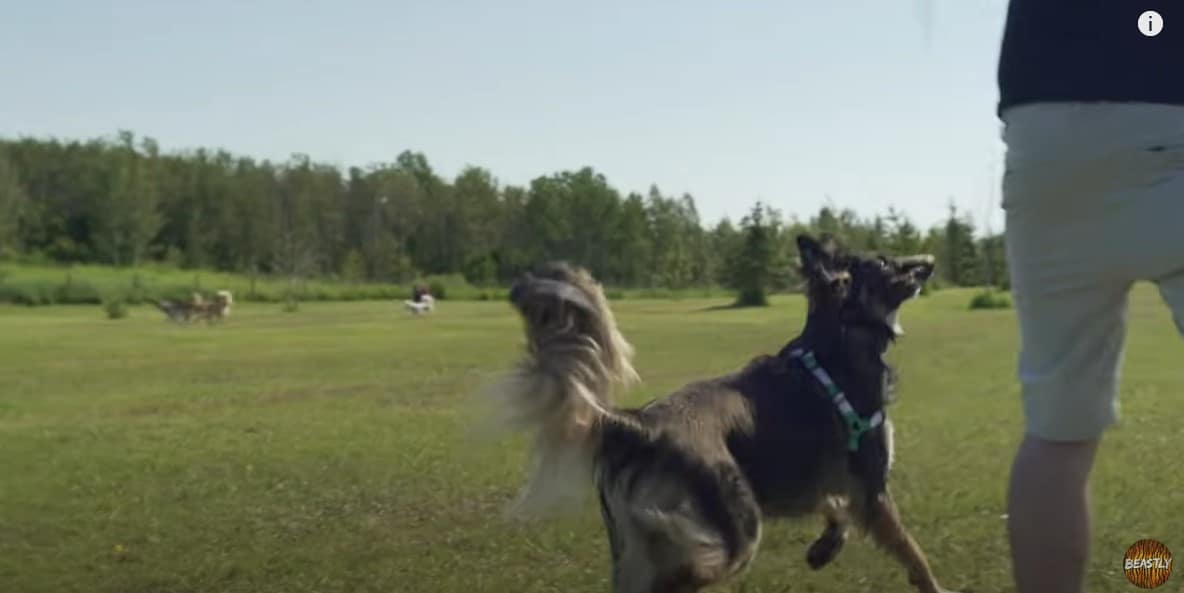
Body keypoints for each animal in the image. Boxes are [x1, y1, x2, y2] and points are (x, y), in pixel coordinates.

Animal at [485, 234, 956, 591]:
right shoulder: (873, 488)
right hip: (737, 531)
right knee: (681, 576)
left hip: (637, 546)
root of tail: (638, 424)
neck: (839, 335)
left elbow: (834, 506)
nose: (930, 260)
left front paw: (824, 548)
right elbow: (914, 554)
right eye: (884, 261)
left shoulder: (813, 479)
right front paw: (934, 585)